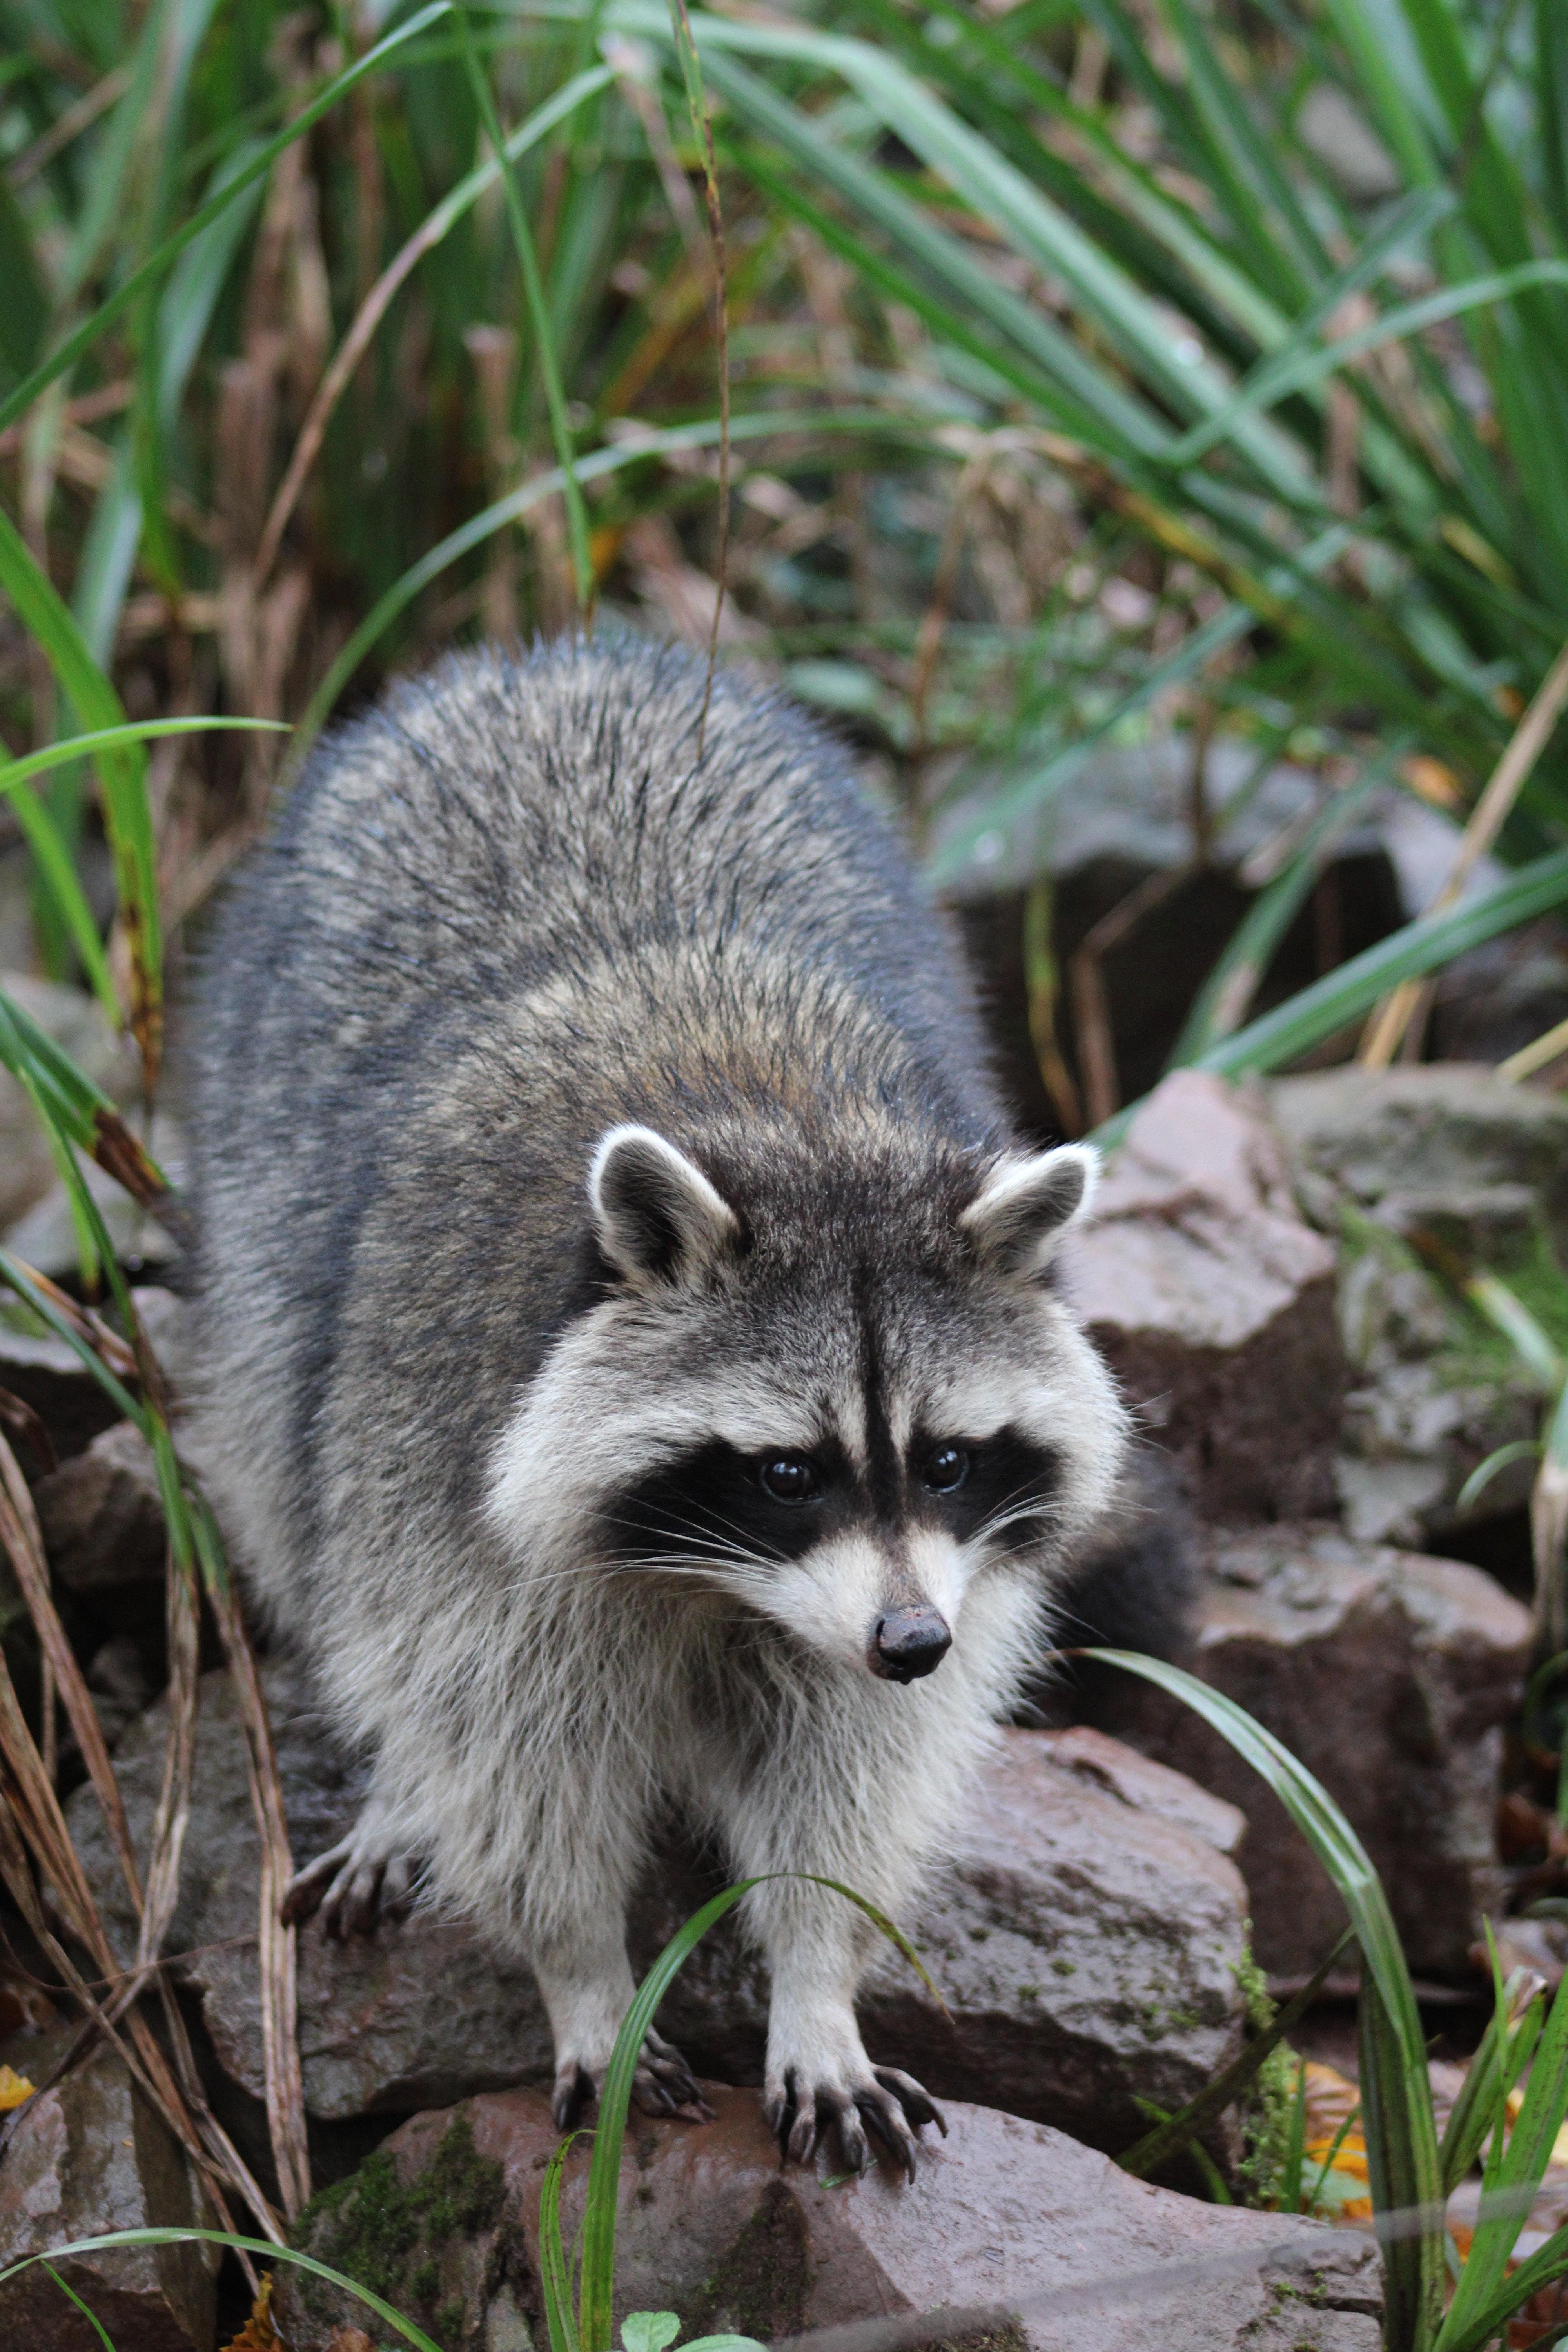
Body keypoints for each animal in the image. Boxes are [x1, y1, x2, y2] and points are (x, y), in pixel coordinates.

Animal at [187, 635, 1128, 2173]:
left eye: (944, 1460)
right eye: (791, 1470)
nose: (914, 1641)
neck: (792, 1127)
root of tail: (551, 658)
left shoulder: (925, 1594)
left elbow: (852, 1771)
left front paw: (816, 1978)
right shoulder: (440, 1450)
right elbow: (512, 1759)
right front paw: (582, 1977)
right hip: (262, 1207)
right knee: (301, 1500)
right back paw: (396, 1778)